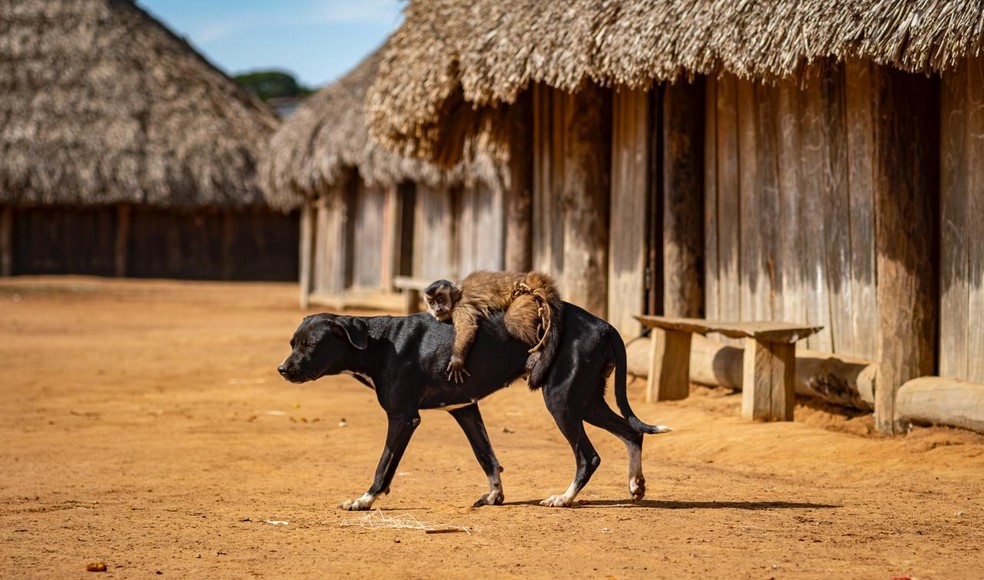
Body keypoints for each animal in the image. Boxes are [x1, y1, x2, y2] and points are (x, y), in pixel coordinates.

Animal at [280, 302, 672, 510]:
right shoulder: (465, 409)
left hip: (561, 401)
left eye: (310, 345)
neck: (379, 343)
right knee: (631, 432)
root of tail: (604, 325)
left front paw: (364, 500)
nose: (282, 369)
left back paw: (564, 497)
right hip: (586, 400)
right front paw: (495, 495)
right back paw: (636, 485)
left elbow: (384, 466)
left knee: (588, 456)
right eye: (292, 343)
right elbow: (486, 456)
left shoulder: (404, 418)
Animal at [420, 270, 564, 388]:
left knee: (512, 319)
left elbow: (467, 328)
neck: (456, 298)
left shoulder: (461, 306)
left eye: (440, 299)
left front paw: (457, 360)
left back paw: (538, 349)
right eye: (432, 303)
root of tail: (528, 277)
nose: (437, 309)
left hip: (527, 296)